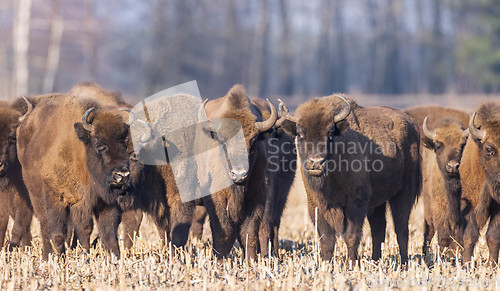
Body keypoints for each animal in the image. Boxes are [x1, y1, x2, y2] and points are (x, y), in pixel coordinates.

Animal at [16, 84, 138, 260]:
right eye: (99, 144)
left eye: (125, 142)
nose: (122, 175)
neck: (80, 154)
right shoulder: (56, 198)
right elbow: (58, 233)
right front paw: (58, 259)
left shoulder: (101, 202)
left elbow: (106, 233)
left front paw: (114, 259)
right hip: (37, 196)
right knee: (45, 225)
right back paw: (47, 256)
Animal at [280, 95, 420, 264]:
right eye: (300, 133)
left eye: (330, 133)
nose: (316, 162)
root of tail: (413, 125)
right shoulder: (316, 204)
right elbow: (326, 240)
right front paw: (326, 265)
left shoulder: (356, 202)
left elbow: (351, 236)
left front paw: (351, 264)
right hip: (378, 202)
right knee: (378, 229)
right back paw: (375, 260)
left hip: (404, 192)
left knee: (401, 229)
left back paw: (404, 263)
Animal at [458, 101, 500, 264]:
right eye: (488, 149)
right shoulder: (471, 203)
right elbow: (470, 235)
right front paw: (466, 264)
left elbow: (493, 237)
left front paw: (492, 265)